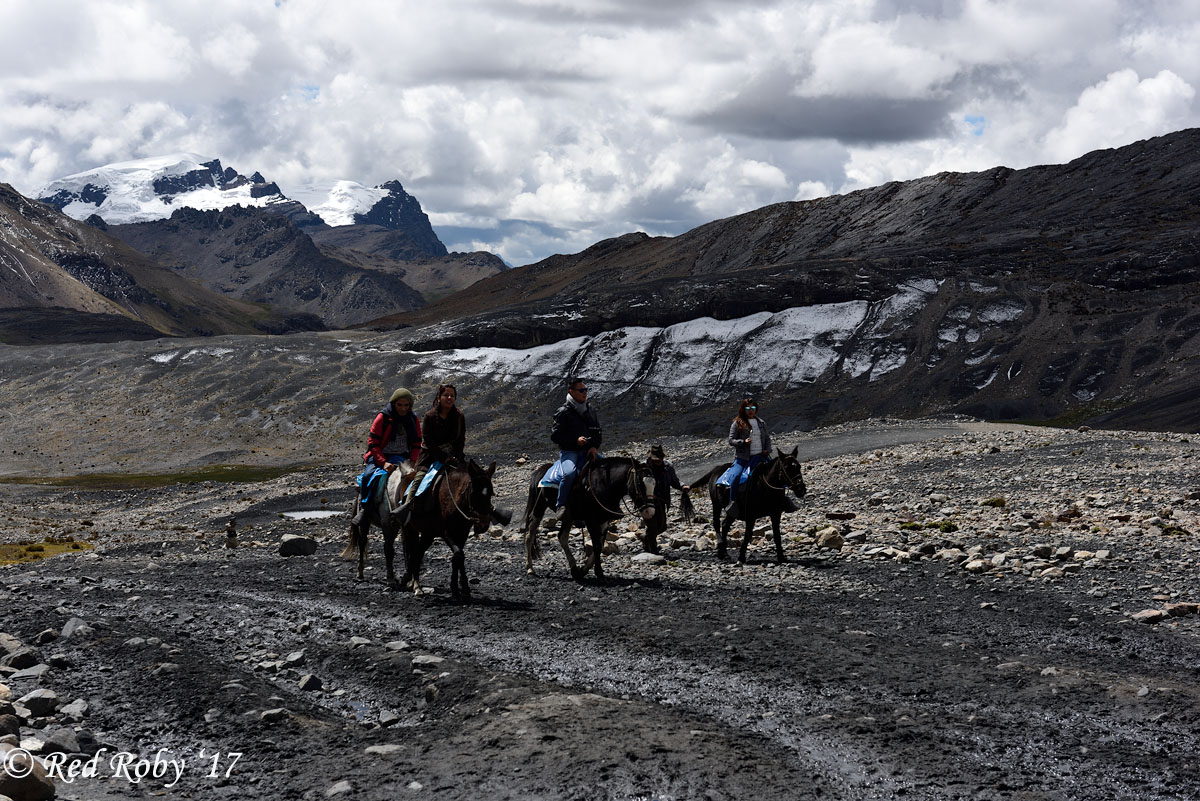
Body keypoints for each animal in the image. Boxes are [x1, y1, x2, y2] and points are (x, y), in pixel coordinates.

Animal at [400, 460, 499, 597]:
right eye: (473, 493)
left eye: (490, 493)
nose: (483, 524)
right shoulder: (446, 533)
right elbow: (459, 555)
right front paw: (458, 588)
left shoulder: (462, 533)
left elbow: (458, 557)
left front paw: (461, 588)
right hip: (409, 528)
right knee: (410, 551)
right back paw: (410, 582)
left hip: (428, 534)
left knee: (417, 553)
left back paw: (415, 585)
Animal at [523, 455, 657, 582]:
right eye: (640, 484)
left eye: (654, 484)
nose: (650, 512)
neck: (605, 484)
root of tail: (541, 470)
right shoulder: (591, 521)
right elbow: (596, 545)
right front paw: (599, 573)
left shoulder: (604, 520)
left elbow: (600, 545)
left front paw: (584, 570)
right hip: (539, 509)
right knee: (530, 535)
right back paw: (530, 568)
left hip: (568, 517)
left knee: (562, 537)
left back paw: (574, 569)